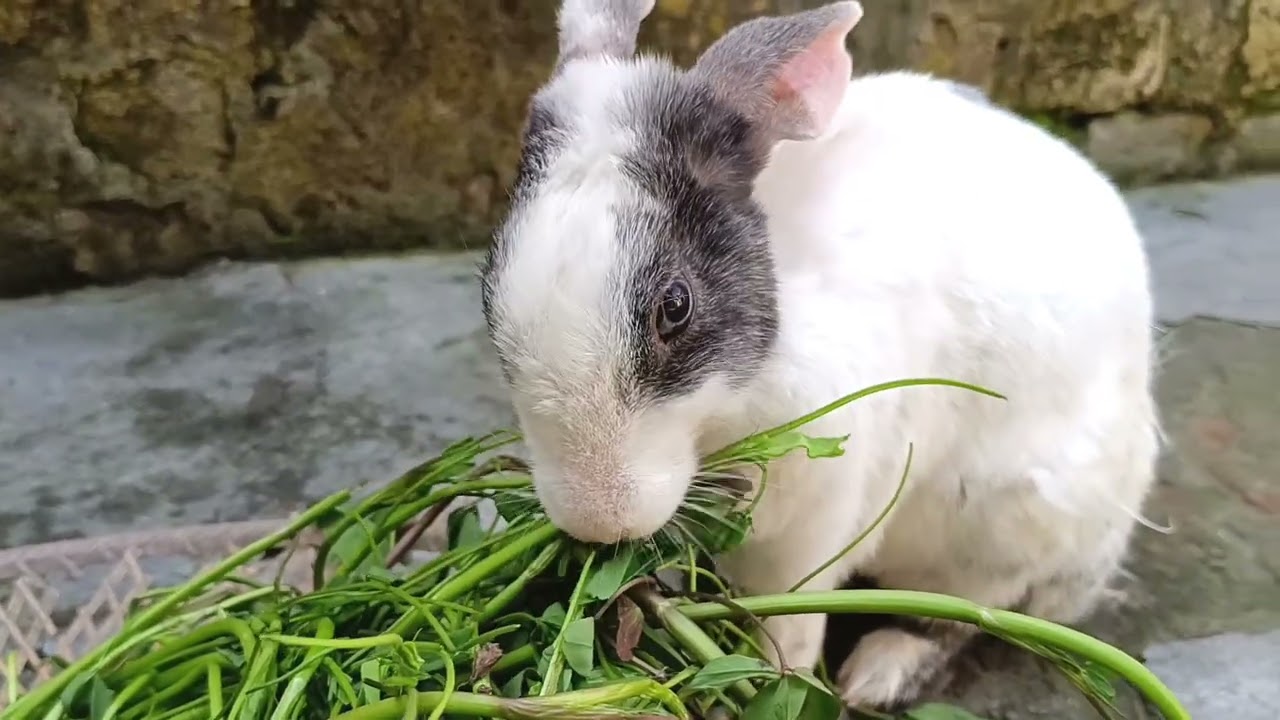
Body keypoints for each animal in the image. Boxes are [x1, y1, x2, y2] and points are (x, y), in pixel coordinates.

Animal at [478, 0, 1160, 711]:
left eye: (675, 305)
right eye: (489, 280)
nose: (599, 523)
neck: (725, 417)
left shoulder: (817, 523)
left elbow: (792, 620)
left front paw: (774, 680)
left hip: (1003, 525)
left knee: (968, 614)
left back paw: (876, 675)